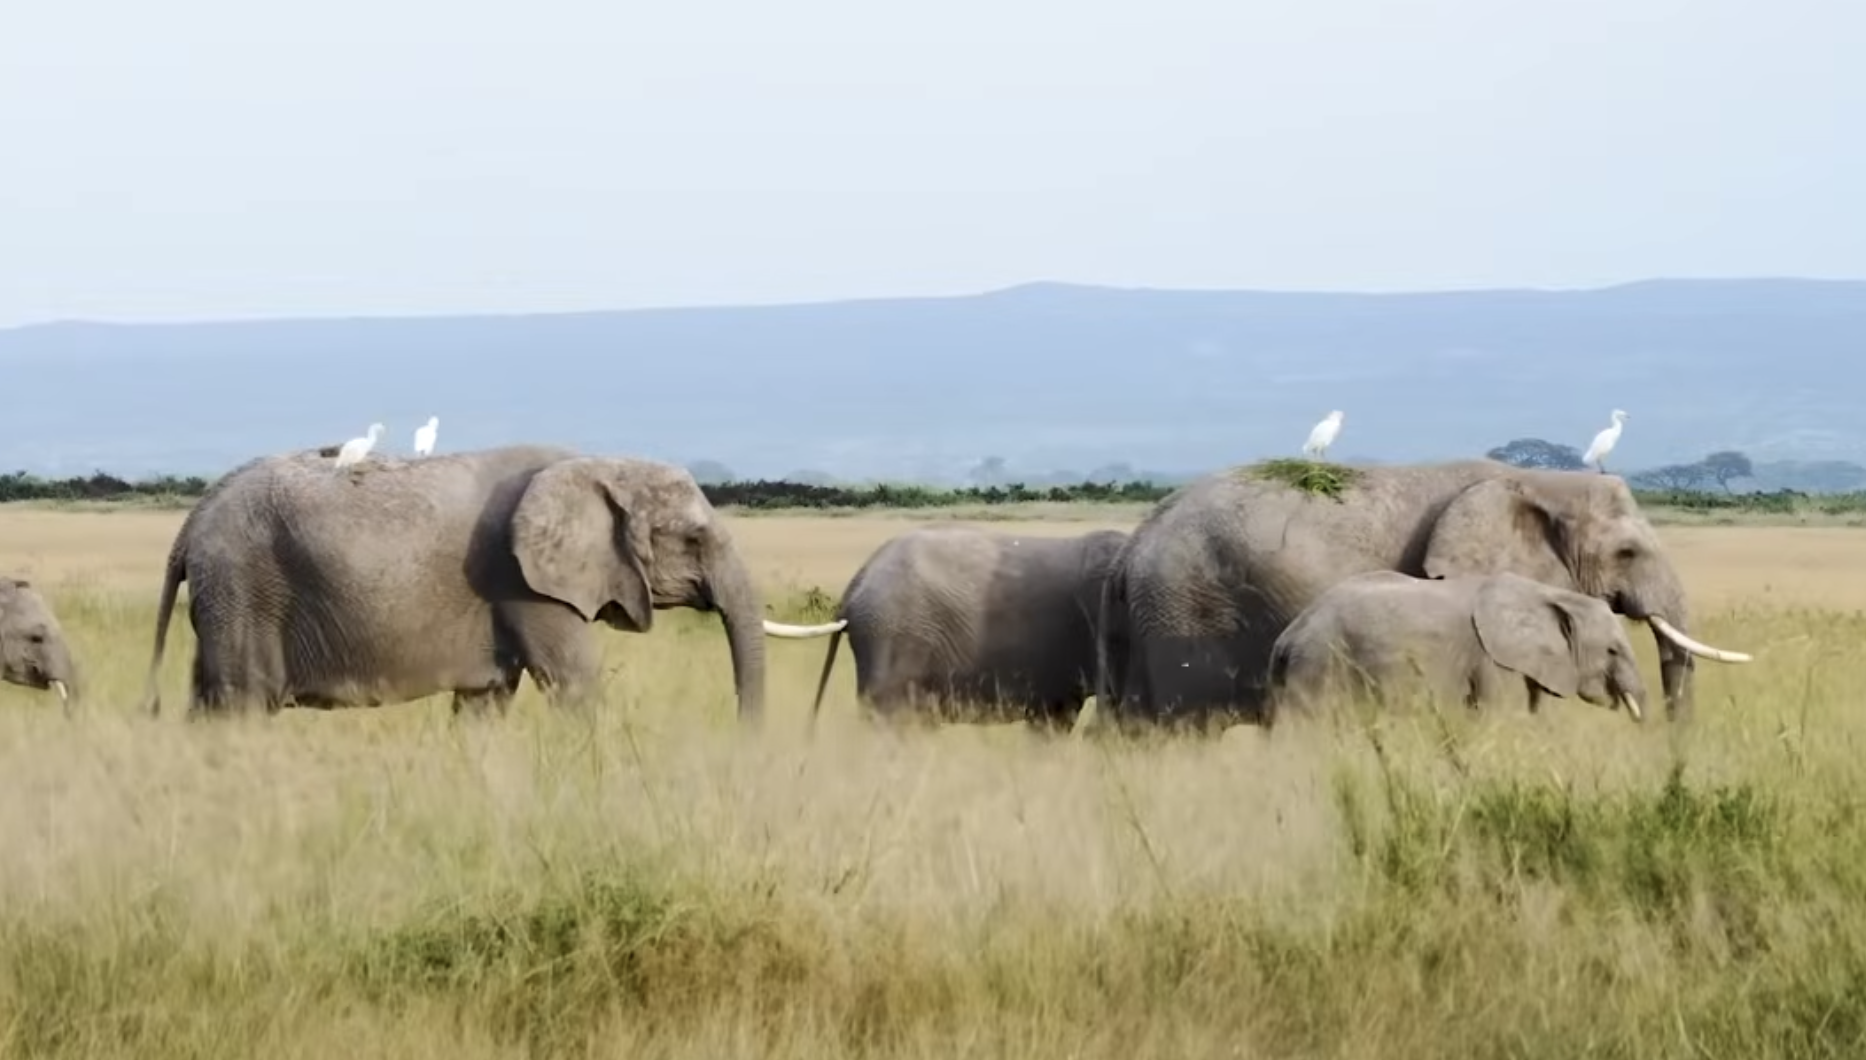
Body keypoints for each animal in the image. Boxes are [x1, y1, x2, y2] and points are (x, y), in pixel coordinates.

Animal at [138, 444, 839, 720]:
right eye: (693, 539)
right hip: (245, 588)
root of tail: (192, 520)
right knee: (240, 705)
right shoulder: (528, 586)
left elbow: (484, 703)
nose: (746, 740)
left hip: (226, 595)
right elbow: (575, 685)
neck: (597, 464)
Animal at [1265, 570, 1648, 723]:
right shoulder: (1493, 661)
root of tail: (1285, 638)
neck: (1547, 594)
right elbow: (1499, 717)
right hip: (1318, 668)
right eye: (1612, 651)